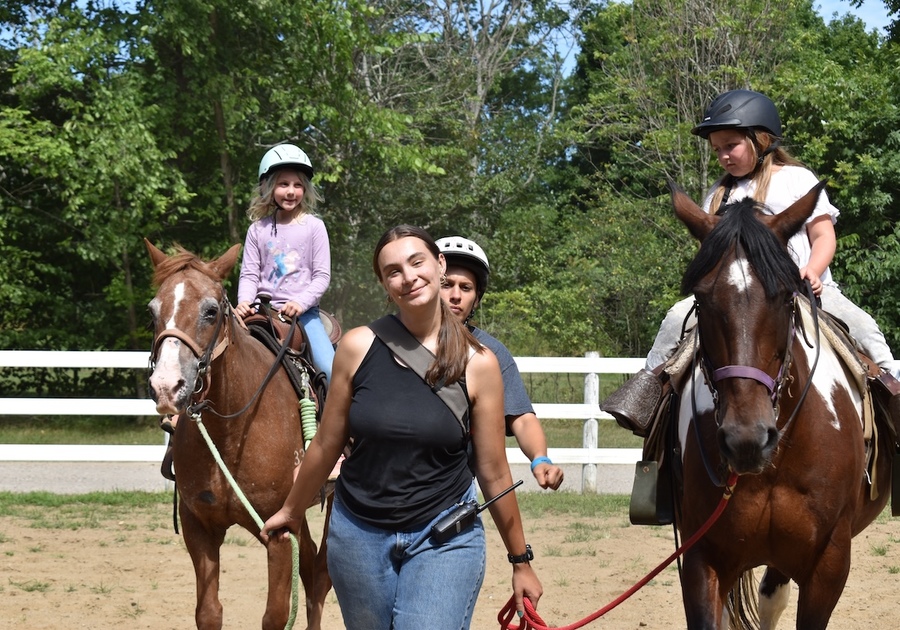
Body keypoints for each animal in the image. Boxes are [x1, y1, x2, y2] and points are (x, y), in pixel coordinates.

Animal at [146, 239, 332, 628]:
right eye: (152, 313)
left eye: (211, 311)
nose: (167, 386)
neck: (230, 430)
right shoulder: (198, 526)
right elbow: (208, 612)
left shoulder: (279, 534)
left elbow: (275, 615)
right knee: (311, 566)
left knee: (321, 576)